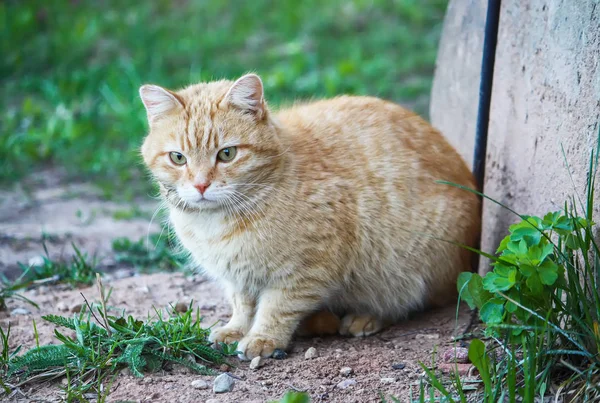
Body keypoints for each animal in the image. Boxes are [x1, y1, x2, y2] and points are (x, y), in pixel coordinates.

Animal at [138, 73, 480, 360]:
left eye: (227, 154)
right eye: (178, 158)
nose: (200, 185)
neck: (216, 224)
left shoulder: (305, 270)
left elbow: (277, 307)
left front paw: (263, 338)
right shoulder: (239, 277)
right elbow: (243, 305)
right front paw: (236, 329)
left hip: (405, 263)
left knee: (408, 300)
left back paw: (364, 317)